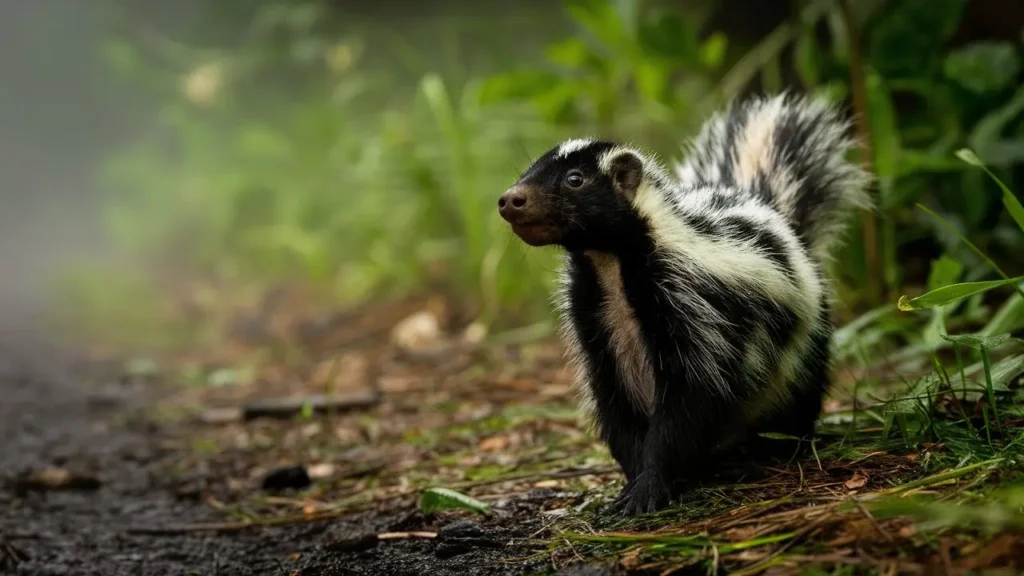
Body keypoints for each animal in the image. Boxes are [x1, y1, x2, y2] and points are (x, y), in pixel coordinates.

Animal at [499, 93, 868, 510]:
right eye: (528, 172)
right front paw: (634, 483)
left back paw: (777, 447)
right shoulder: (594, 322)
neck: (611, 266)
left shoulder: (692, 303)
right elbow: (615, 404)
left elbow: (689, 397)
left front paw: (650, 485)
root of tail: (770, 209)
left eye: (574, 179)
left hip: (805, 338)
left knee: (799, 389)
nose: (511, 199)